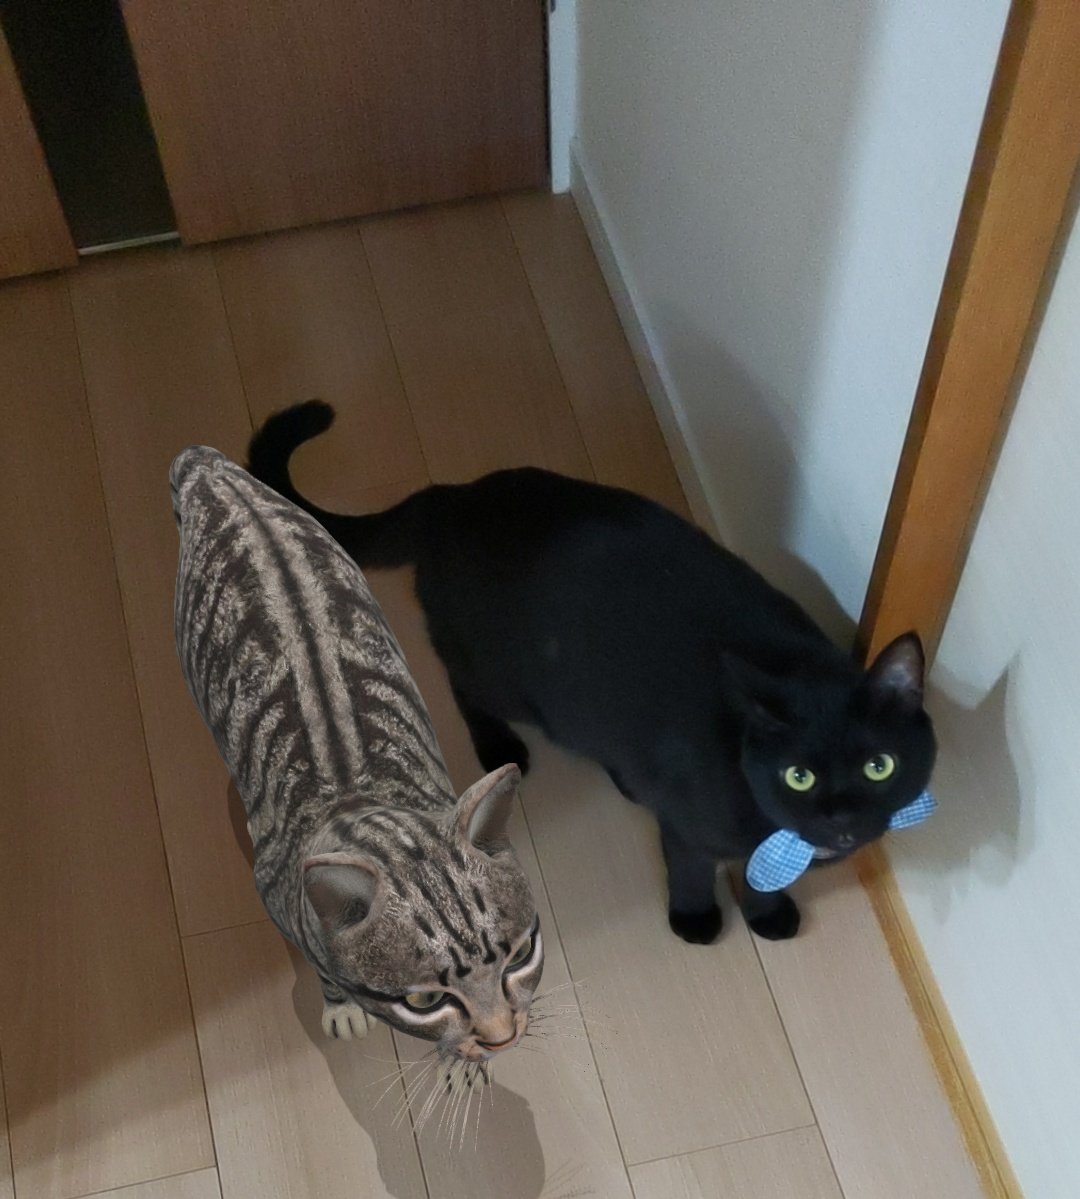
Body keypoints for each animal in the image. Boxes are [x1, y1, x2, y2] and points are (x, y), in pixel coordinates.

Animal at [171, 446, 542, 1059]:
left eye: (518, 956)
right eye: (424, 999)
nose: (502, 1039)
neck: (360, 804)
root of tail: (213, 472)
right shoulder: (275, 893)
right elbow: (324, 968)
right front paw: (342, 1006)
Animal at [246, 401, 937, 945]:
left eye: (879, 767)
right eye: (799, 776)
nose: (841, 816)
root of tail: (454, 494)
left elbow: (764, 875)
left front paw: (767, 915)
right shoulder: (689, 829)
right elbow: (693, 867)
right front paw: (696, 921)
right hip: (504, 677)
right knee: (462, 683)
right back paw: (501, 746)